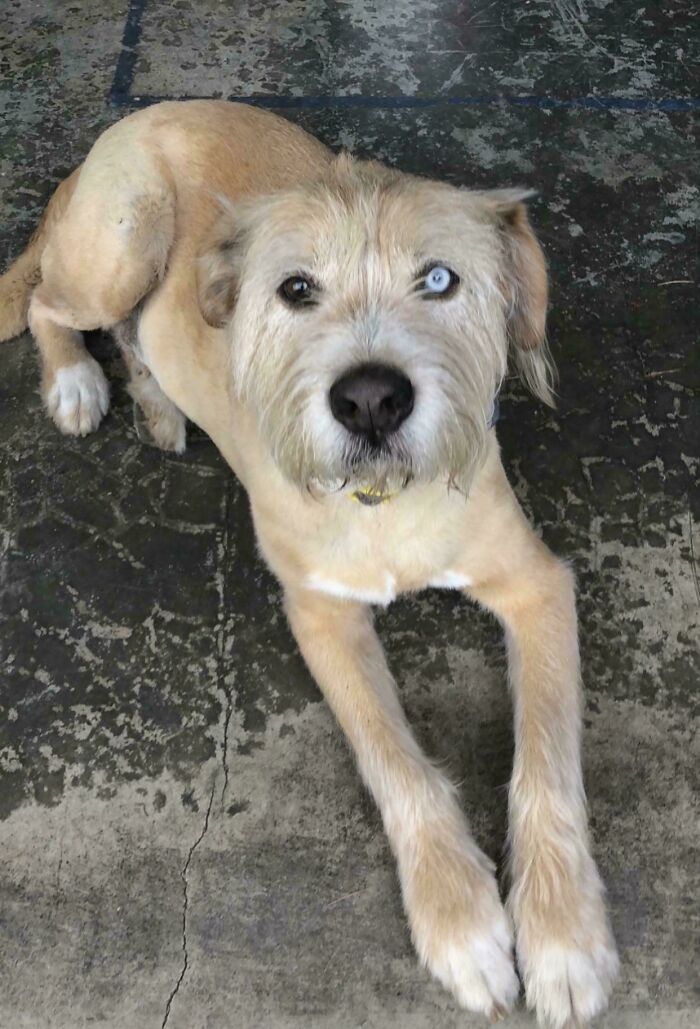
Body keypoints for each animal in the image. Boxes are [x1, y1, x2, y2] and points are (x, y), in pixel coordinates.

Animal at [2, 100, 621, 1024]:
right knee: (53, 301)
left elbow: (546, 762)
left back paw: (155, 397)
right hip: (120, 241)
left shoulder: (536, 583)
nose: (370, 399)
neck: (383, 502)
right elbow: (396, 762)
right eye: (296, 289)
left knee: (128, 326)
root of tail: (138, 116)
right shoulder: (321, 612)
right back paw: (79, 381)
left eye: (440, 280)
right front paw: (461, 921)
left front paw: (563, 936)